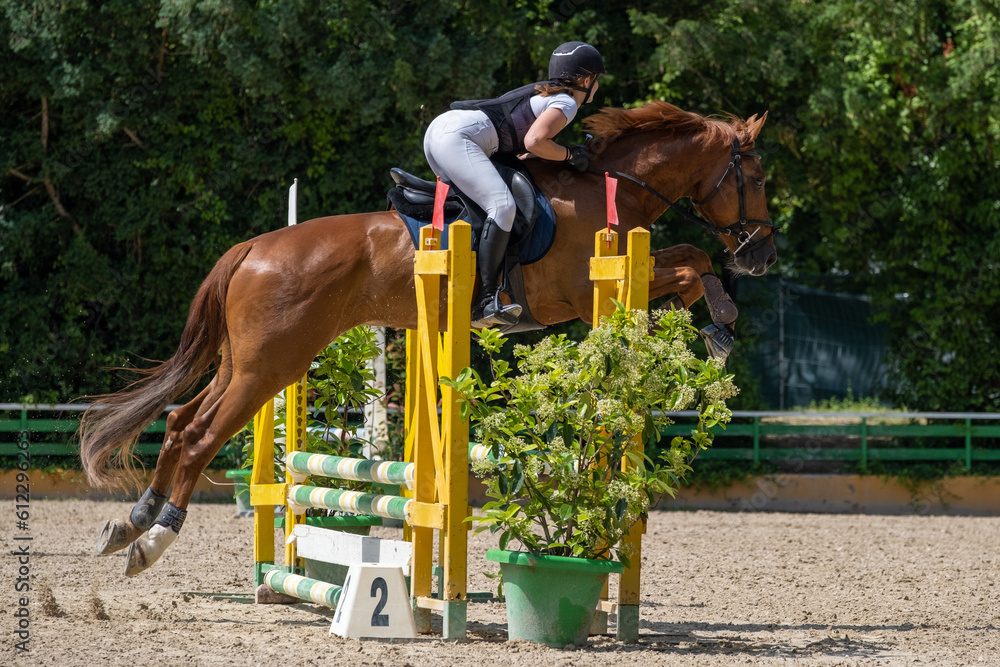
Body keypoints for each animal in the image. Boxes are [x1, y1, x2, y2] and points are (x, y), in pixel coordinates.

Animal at [78, 101, 775, 576]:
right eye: (759, 176)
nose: (761, 255)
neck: (610, 186)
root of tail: (253, 247)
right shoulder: (584, 293)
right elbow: (688, 264)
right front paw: (719, 321)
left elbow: (688, 258)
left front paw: (710, 322)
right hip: (269, 368)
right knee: (199, 435)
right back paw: (153, 540)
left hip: (243, 363)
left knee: (177, 423)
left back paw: (131, 522)